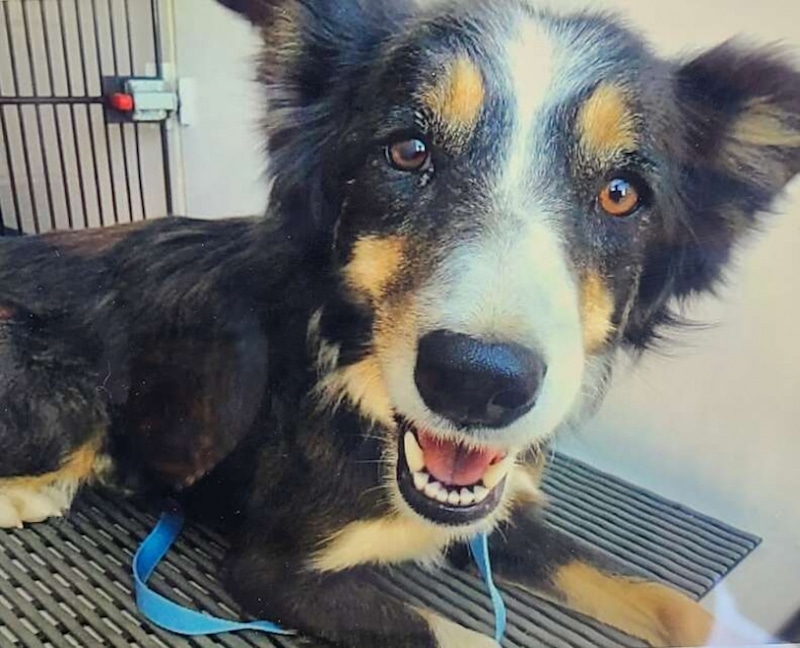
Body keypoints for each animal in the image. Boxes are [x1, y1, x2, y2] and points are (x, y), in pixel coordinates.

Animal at [1, 0, 800, 644]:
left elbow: (667, 600)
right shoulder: (274, 570)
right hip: (67, 399)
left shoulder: (499, 517)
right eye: (408, 151)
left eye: (620, 193)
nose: (479, 383)